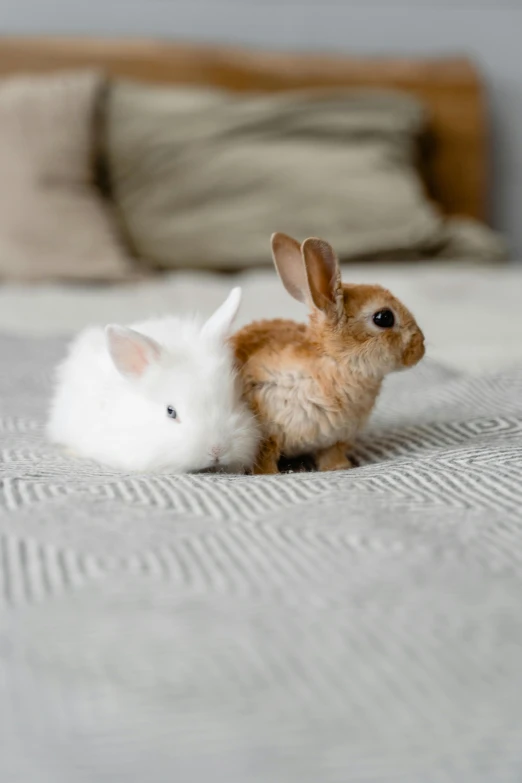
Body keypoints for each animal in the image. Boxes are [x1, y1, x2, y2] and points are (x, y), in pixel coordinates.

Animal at [232, 233, 422, 474]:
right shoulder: (267, 433)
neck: (334, 361)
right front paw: (268, 474)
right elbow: (264, 458)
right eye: (384, 318)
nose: (420, 349)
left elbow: (331, 455)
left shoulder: (333, 440)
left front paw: (339, 467)